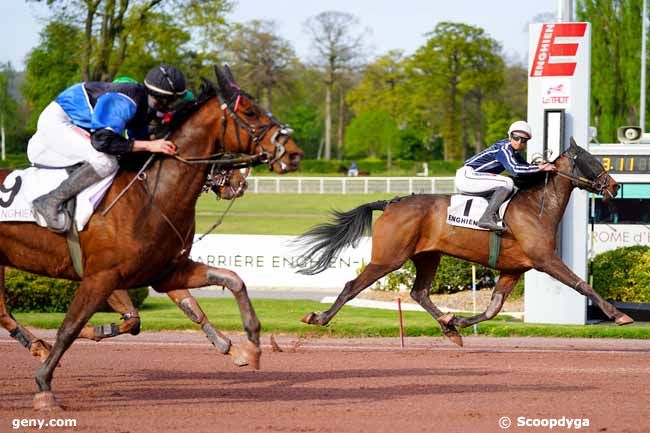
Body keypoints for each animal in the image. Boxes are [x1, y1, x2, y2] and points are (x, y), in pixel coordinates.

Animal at [0, 65, 302, 408]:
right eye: (250, 112)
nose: (293, 154)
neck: (152, 195)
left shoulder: (165, 272)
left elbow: (228, 282)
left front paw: (248, 346)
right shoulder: (101, 276)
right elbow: (70, 327)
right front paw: (44, 385)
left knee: (2, 311)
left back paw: (37, 345)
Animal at [298, 138, 632, 344]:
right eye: (591, 160)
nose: (615, 185)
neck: (537, 207)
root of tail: (391, 203)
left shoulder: (513, 269)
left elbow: (493, 309)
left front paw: (458, 322)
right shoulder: (544, 259)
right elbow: (582, 284)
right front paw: (619, 315)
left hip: (428, 256)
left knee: (419, 292)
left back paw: (447, 325)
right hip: (388, 258)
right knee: (351, 286)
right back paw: (319, 316)